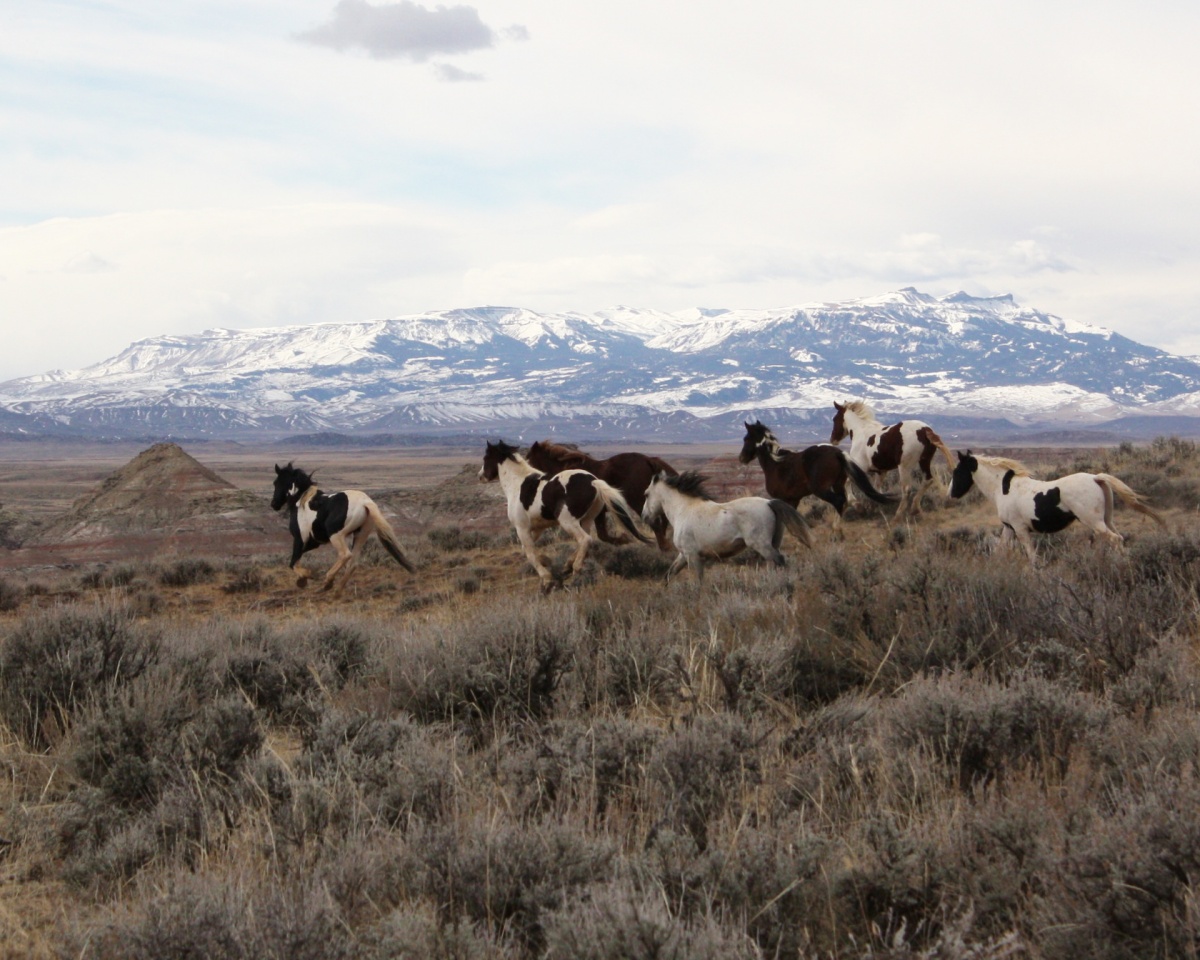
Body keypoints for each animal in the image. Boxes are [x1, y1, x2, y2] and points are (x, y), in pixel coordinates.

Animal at [270, 460, 415, 588]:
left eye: (276, 483)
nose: (274, 504)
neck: (301, 501)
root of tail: (365, 502)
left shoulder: (300, 539)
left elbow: (293, 562)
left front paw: (305, 578)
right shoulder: (313, 543)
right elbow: (296, 560)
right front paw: (303, 579)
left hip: (336, 535)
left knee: (345, 555)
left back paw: (328, 581)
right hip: (360, 535)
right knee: (353, 562)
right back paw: (337, 589)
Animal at [530, 441, 681, 552]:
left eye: (529, 460)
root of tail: (649, 460)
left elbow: (599, 535)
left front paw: (623, 539)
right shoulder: (598, 513)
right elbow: (601, 534)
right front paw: (623, 539)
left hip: (639, 501)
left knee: (656, 524)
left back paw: (664, 547)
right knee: (663, 521)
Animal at [643, 468, 811, 580]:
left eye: (646, 494)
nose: (644, 516)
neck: (683, 510)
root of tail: (769, 503)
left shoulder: (693, 556)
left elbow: (698, 580)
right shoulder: (684, 555)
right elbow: (670, 574)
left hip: (761, 545)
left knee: (780, 560)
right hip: (773, 543)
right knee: (774, 564)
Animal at [734, 415, 897, 532]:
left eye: (746, 438)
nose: (741, 458)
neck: (776, 464)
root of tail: (837, 452)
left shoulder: (782, 498)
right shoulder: (794, 499)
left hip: (820, 489)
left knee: (839, 501)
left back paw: (836, 531)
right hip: (838, 484)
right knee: (844, 500)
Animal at [945, 451, 1161, 561]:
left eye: (957, 471)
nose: (950, 494)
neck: (1003, 488)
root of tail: (1096, 478)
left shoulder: (1021, 529)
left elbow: (1032, 557)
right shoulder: (1009, 528)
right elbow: (1000, 550)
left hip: (1094, 522)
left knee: (1116, 539)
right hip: (1106, 520)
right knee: (1118, 538)